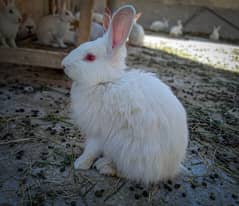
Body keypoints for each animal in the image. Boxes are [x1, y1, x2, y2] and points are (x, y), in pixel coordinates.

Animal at [62, 4, 189, 185]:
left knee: (129, 173)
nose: (63, 64)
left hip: (130, 152)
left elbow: (91, 149)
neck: (105, 82)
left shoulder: (99, 133)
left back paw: (105, 166)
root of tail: (172, 167)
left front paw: (80, 164)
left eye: (90, 57)